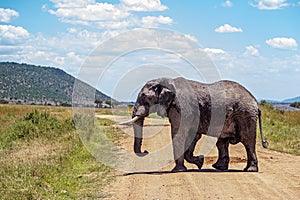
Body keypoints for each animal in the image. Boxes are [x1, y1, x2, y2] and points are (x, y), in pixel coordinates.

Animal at [119, 77, 268, 173]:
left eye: (145, 97)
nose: (145, 151)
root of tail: (256, 102)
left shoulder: (182, 108)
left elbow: (179, 134)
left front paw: (178, 170)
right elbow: (193, 136)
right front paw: (200, 162)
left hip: (246, 115)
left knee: (248, 141)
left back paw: (249, 170)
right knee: (222, 142)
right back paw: (218, 167)